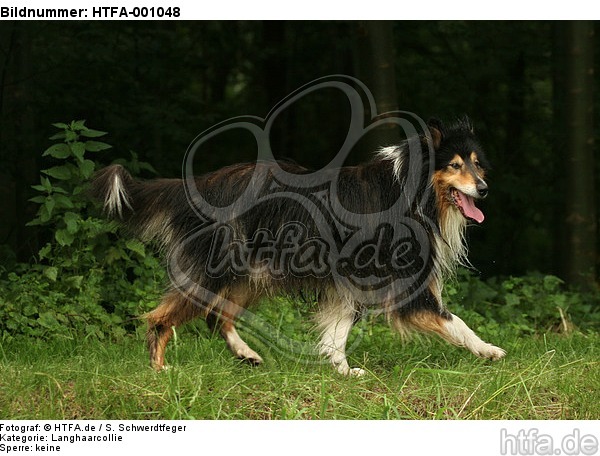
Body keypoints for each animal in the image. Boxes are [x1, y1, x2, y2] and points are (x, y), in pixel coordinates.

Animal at [91, 116, 506, 374]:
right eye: (454, 165)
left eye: (476, 162)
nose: (485, 189)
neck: (412, 190)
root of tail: (196, 185)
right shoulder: (402, 282)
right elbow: (455, 321)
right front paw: (489, 350)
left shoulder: (349, 281)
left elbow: (338, 328)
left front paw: (342, 369)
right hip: (219, 270)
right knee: (162, 318)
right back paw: (161, 370)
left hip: (252, 274)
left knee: (217, 316)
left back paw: (246, 354)